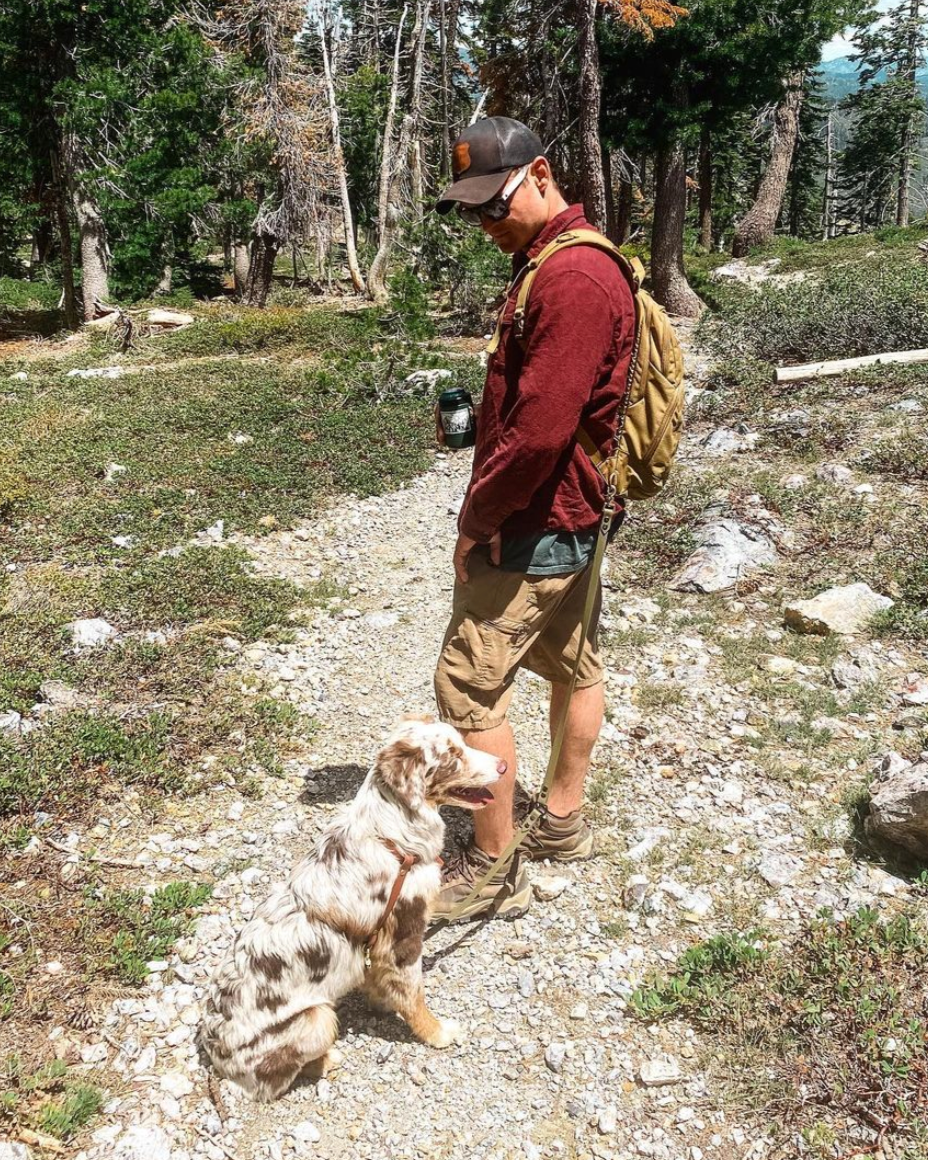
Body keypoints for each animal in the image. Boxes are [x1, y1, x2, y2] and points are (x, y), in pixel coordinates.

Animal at [197, 709, 508, 1099]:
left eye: (463, 744)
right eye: (452, 756)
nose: (503, 766)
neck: (392, 838)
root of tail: (214, 1055)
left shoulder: (381, 944)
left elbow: (383, 980)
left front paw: (380, 999)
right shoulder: (403, 936)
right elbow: (414, 995)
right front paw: (437, 1033)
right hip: (317, 1019)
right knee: (274, 1082)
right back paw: (326, 1060)